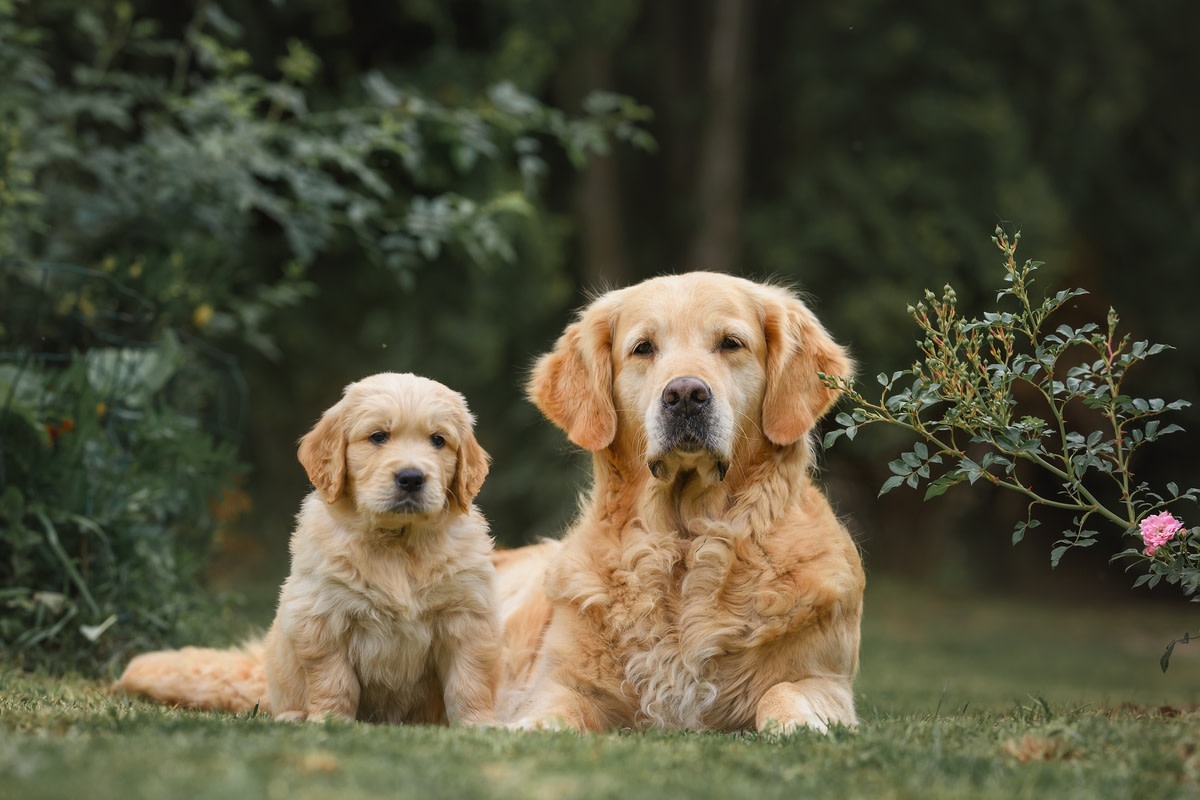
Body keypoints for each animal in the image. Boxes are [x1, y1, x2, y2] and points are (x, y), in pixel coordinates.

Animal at [114, 374, 499, 724]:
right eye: (378, 436)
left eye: (438, 441)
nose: (411, 478)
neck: (396, 542)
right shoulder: (322, 617)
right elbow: (334, 680)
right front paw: (329, 722)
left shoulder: (469, 617)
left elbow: (470, 681)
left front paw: (478, 725)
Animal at [492, 272, 868, 734]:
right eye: (643, 348)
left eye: (730, 343)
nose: (686, 394)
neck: (685, 541)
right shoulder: (562, 684)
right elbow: (554, 714)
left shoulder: (825, 679)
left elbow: (782, 689)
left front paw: (796, 724)